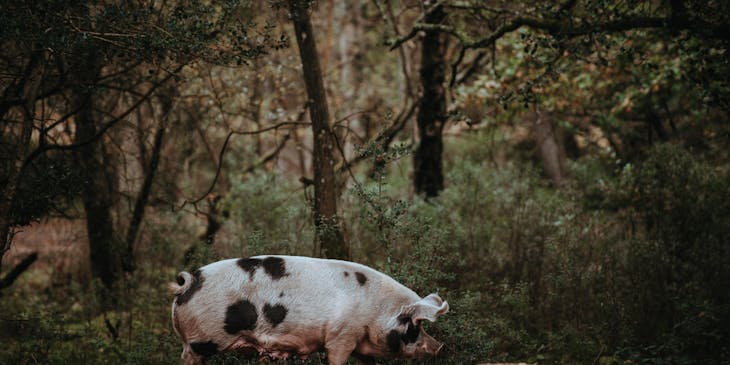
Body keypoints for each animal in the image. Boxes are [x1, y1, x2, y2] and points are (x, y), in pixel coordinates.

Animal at [169, 255, 450, 362]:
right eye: (415, 326)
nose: (440, 347)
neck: (376, 311)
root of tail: (188, 283)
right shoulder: (341, 336)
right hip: (201, 341)